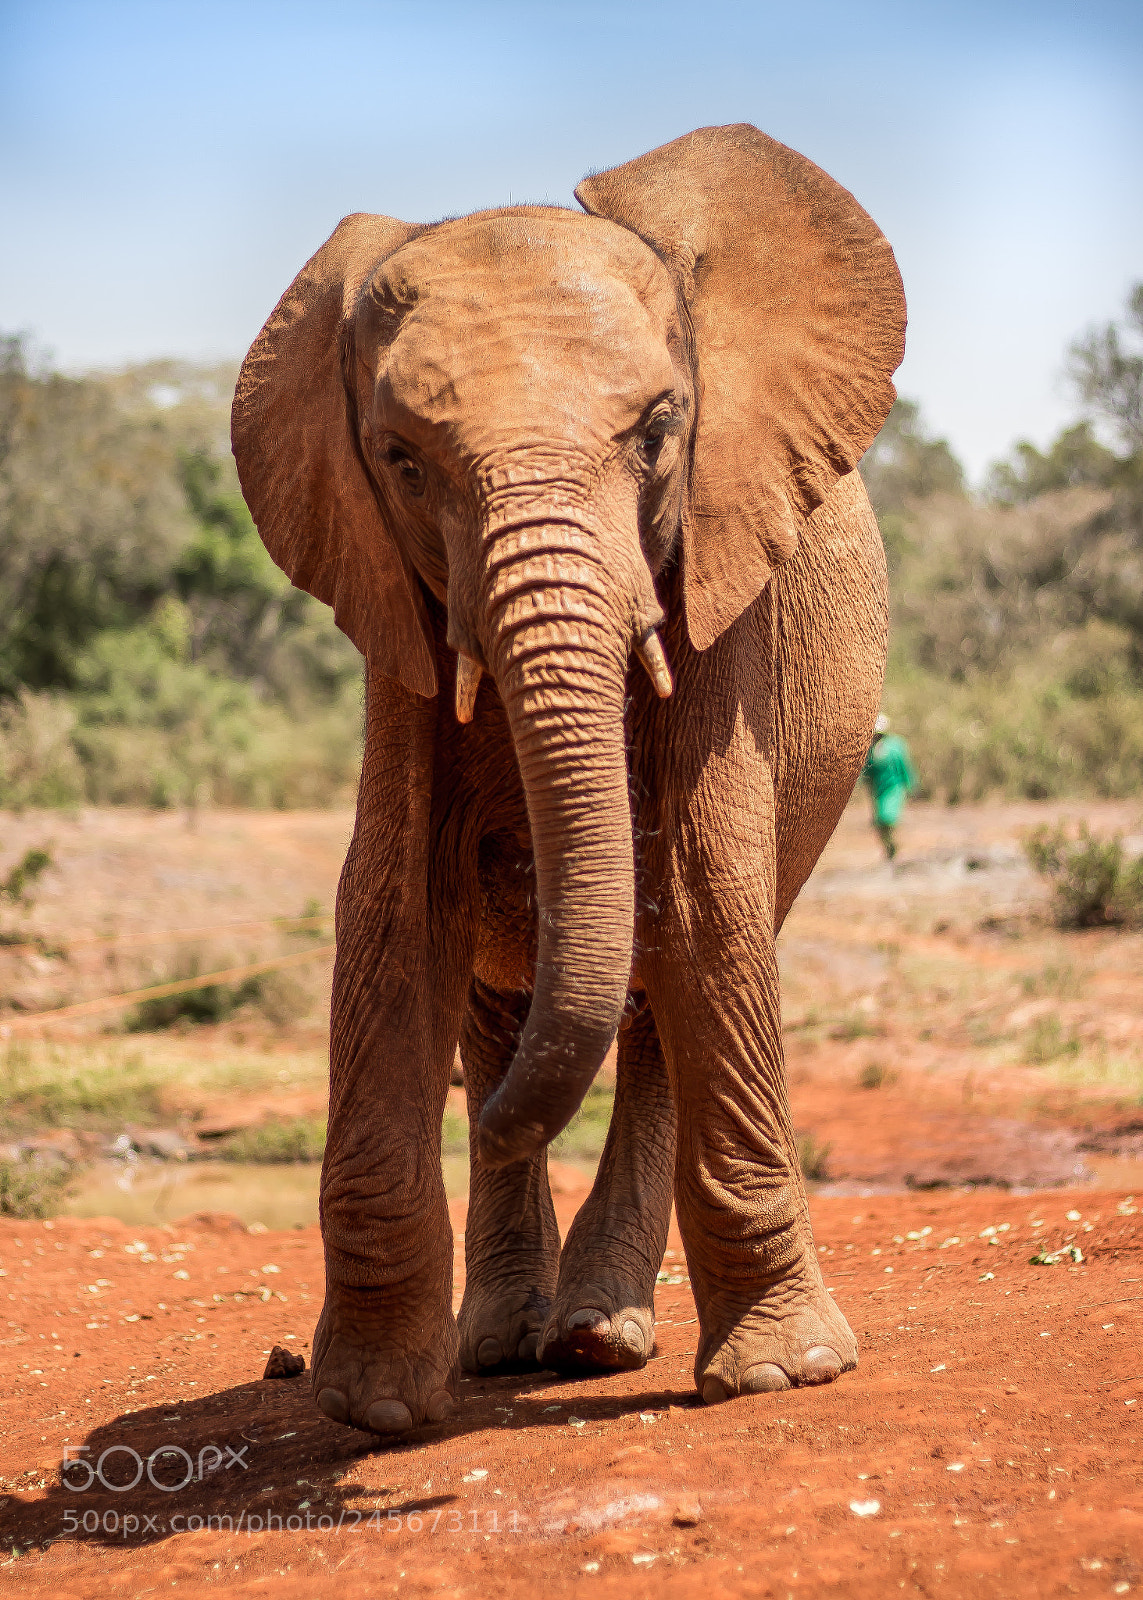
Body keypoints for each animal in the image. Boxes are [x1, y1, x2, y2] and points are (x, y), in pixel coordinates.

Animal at [231, 122, 905, 1435]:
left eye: (656, 431)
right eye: (400, 460)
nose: (486, 1135)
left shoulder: (718, 563)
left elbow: (701, 887)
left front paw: (786, 1375)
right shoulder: (394, 601)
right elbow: (394, 907)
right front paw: (372, 1409)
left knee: (662, 1011)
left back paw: (596, 1337)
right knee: (498, 1017)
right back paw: (504, 1342)